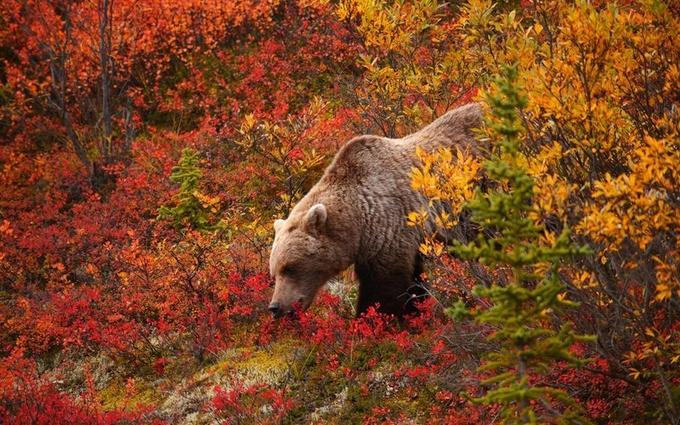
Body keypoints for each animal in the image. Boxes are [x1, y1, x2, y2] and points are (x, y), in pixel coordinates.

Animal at [266, 103, 484, 318]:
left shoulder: (388, 227)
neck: (357, 220)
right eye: (273, 272)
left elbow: (383, 289)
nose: (275, 307)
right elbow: (414, 282)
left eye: (290, 267)